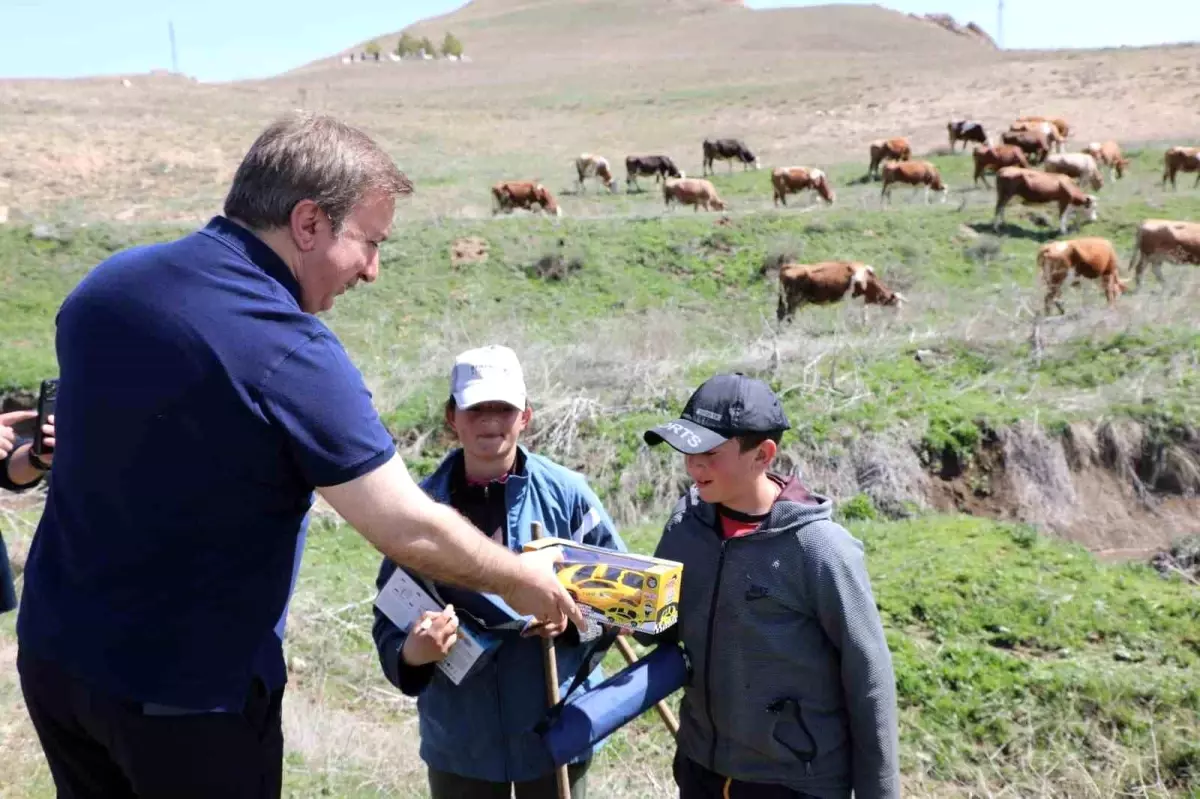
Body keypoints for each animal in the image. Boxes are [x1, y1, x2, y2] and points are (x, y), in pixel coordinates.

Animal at [772, 262, 902, 321]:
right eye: (896, 307)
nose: (896, 322)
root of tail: (789, 266)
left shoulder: (861, 301)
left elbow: (864, 315)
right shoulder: (851, 299)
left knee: (781, 313)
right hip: (793, 299)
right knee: (788, 314)